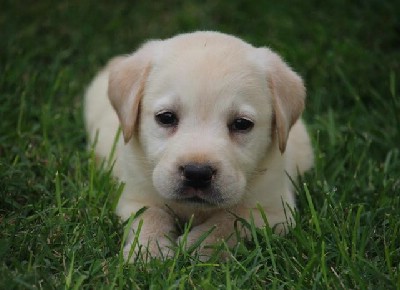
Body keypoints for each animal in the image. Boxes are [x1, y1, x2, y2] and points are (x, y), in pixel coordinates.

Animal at [84, 30, 314, 260]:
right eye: (166, 117)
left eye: (241, 124)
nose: (197, 173)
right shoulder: (133, 197)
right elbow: (151, 215)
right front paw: (149, 251)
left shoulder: (275, 210)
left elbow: (233, 220)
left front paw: (200, 246)